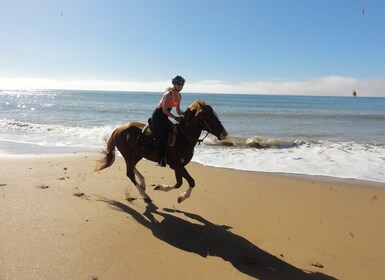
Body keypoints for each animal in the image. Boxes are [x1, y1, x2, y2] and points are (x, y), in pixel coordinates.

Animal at [95, 100, 226, 203]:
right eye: (210, 117)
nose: (224, 133)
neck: (183, 138)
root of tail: (118, 129)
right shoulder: (177, 165)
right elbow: (191, 182)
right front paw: (183, 196)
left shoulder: (178, 166)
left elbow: (179, 183)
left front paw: (161, 188)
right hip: (127, 153)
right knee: (130, 173)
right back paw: (145, 196)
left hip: (137, 154)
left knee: (133, 167)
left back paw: (142, 182)